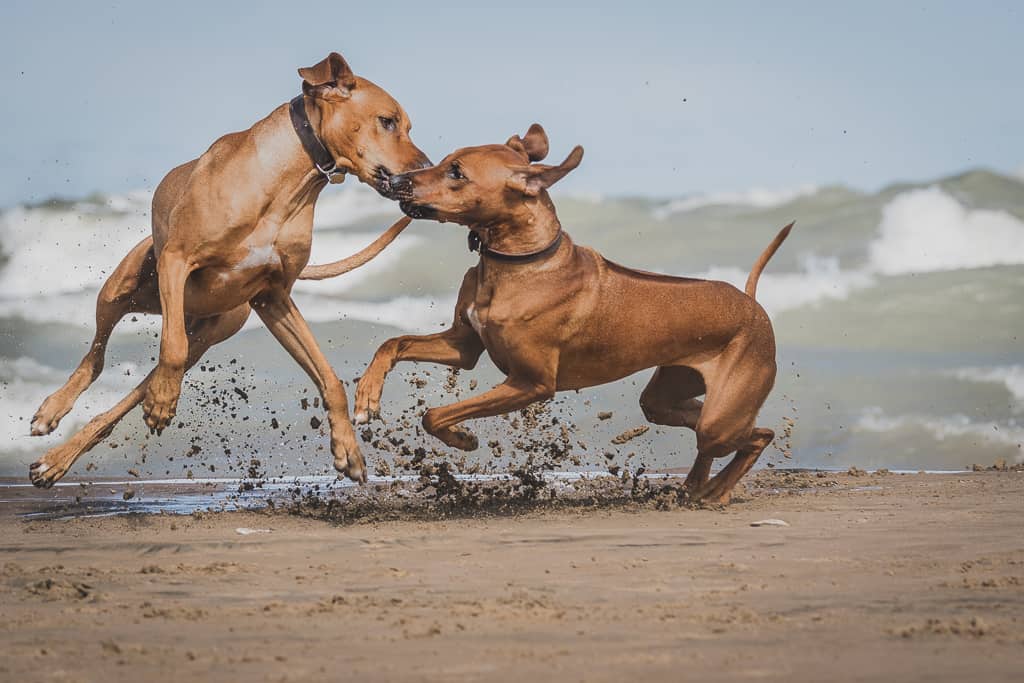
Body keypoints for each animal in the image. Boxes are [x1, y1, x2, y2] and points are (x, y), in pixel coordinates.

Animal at [27, 50, 428, 489]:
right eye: (387, 121)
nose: (427, 169)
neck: (286, 184)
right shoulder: (176, 260)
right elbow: (170, 347)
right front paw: (163, 402)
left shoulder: (273, 299)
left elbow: (330, 378)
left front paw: (347, 448)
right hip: (125, 286)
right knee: (98, 358)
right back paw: (54, 411)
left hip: (208, 333)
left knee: (130, 396)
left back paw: (61, 457)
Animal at [352, 125, 790, 505]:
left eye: (457, 172)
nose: (395, 180)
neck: (518, 262)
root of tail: (752, 304)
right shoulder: (464, 345)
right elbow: (393, 342)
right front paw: (366, 394)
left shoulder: (532, 383)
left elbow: (435, 413)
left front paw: (462, 438)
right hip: (666, 398)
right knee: (726, 428)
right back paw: (698, 485)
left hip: (723, 416)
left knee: (756, 435)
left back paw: (716, 490)